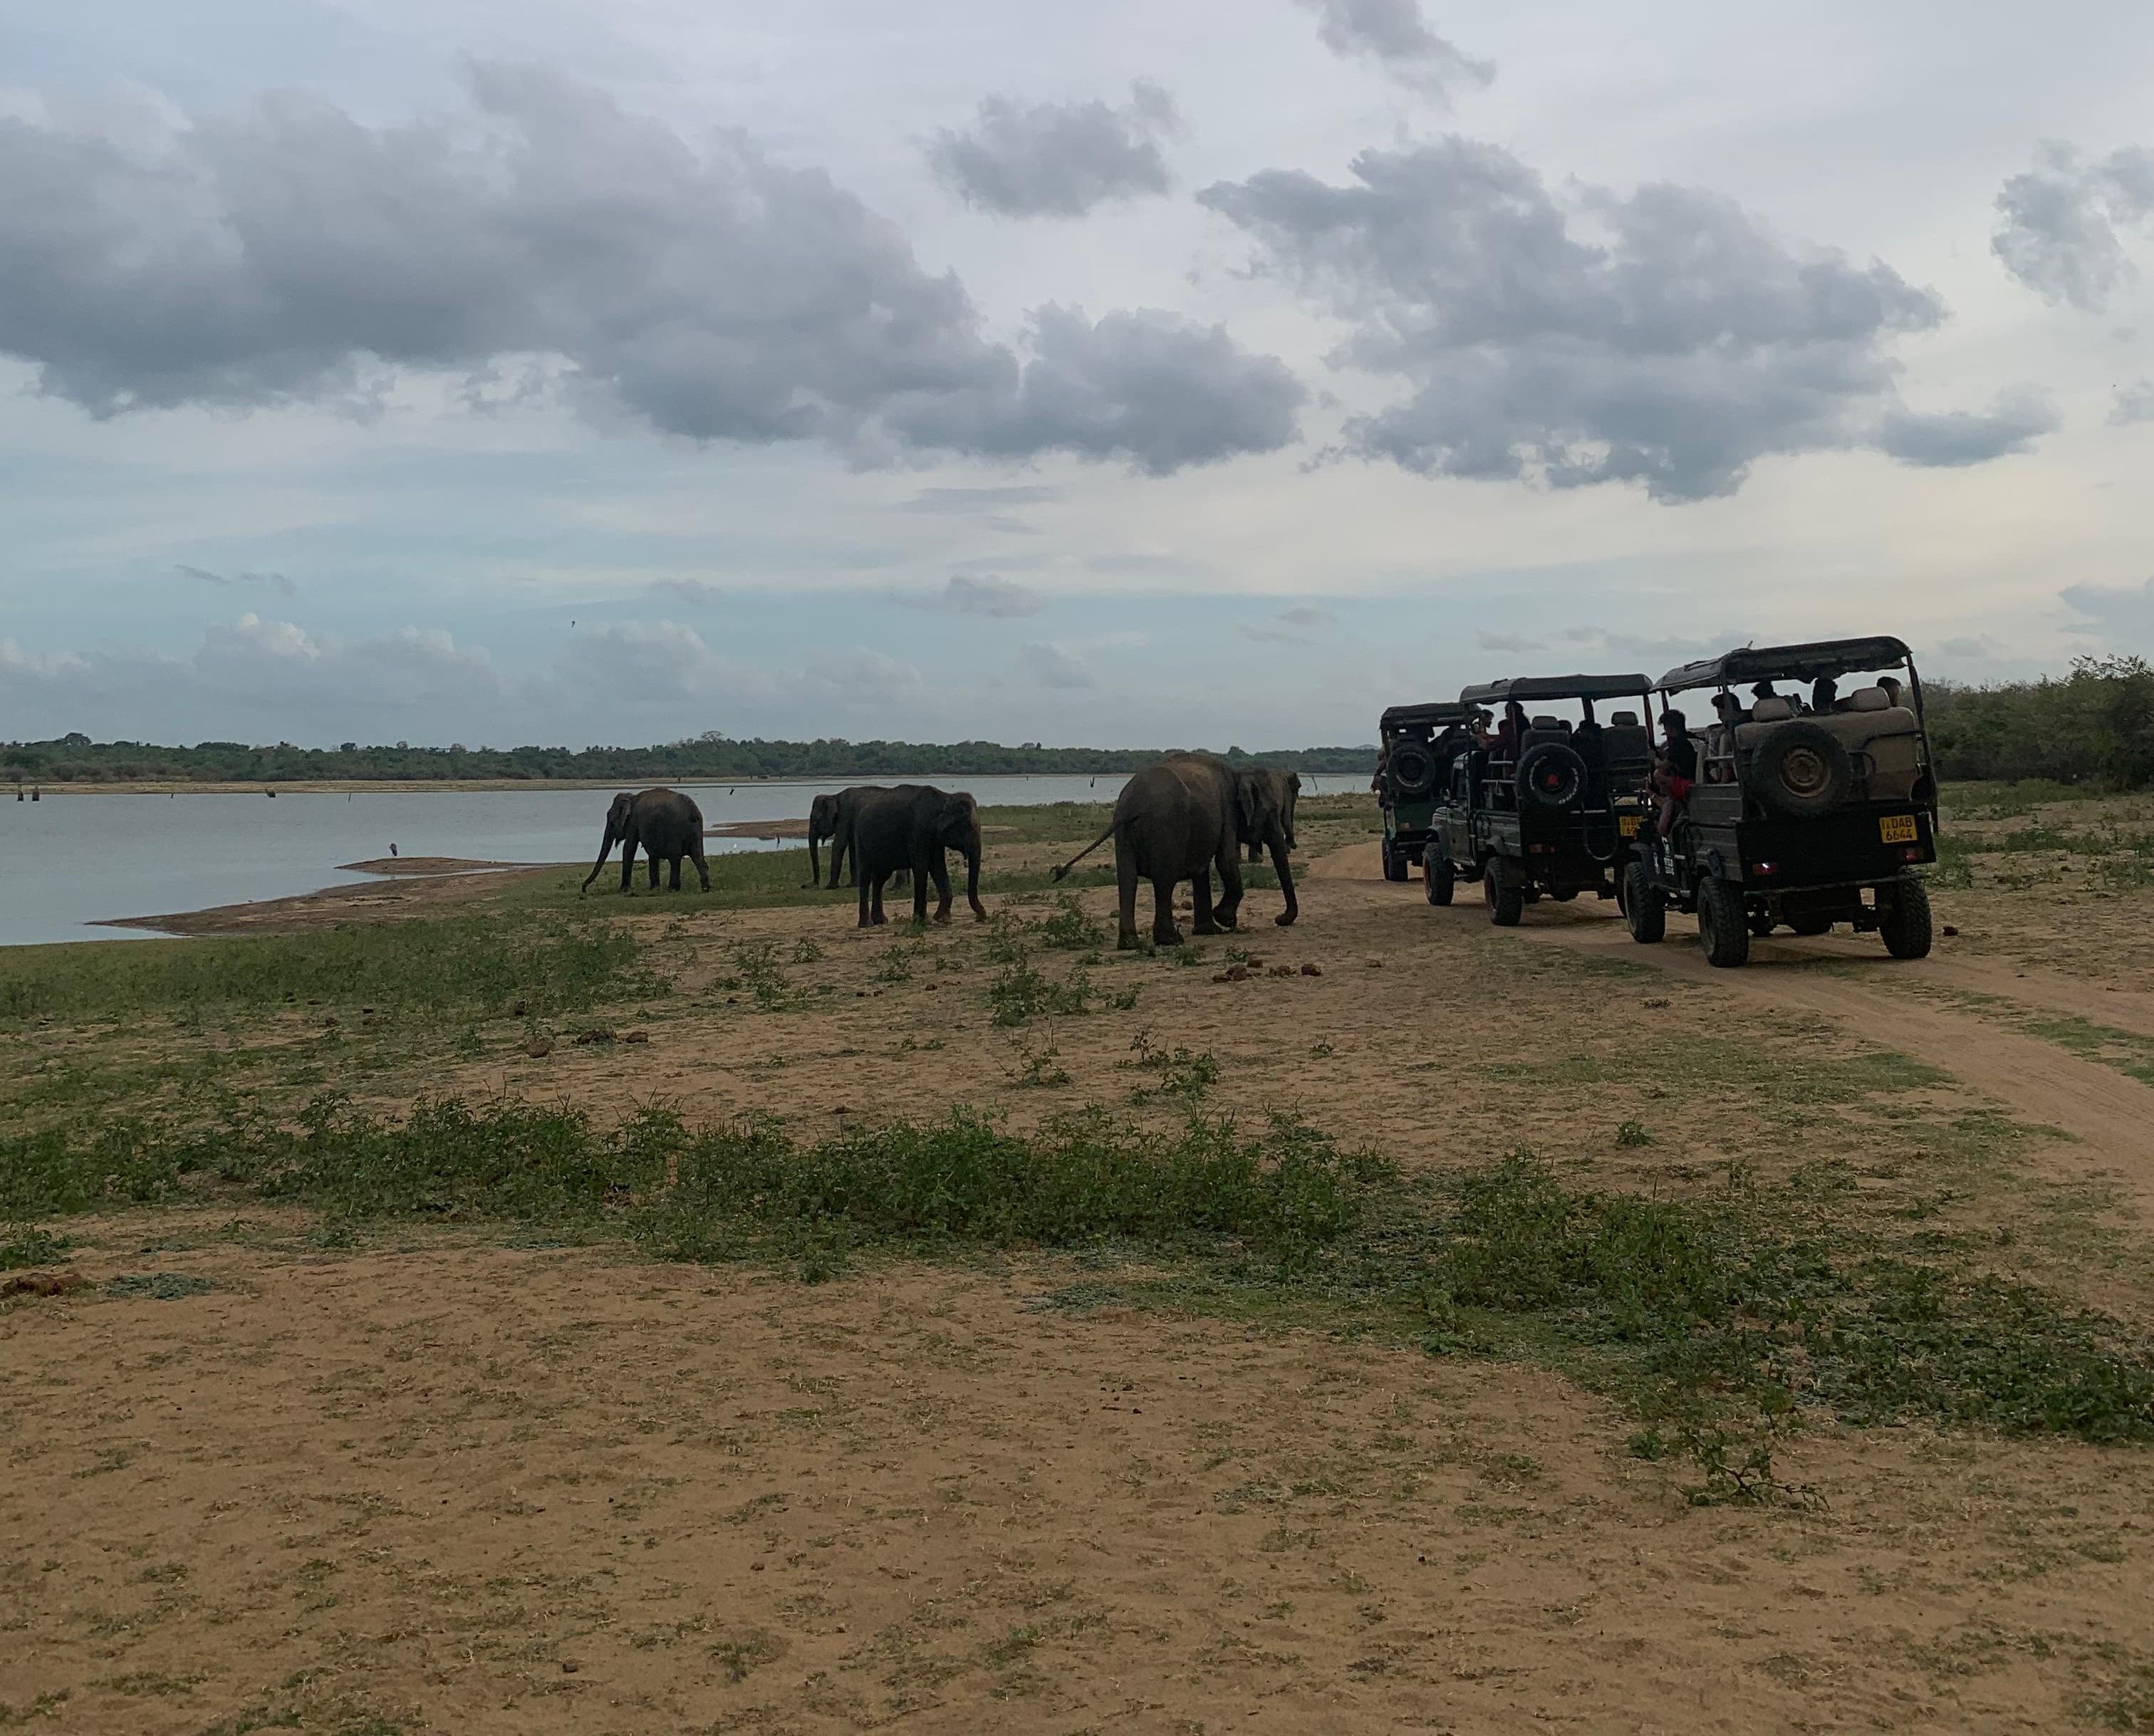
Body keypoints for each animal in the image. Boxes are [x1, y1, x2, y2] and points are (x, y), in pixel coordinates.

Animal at [580, 788, 710, 895]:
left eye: (612, 822)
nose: (584, 889)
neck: (632, 798)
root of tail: (693, 812)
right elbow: (652, 854)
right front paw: (654, 889)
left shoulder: (633, 822)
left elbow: (629, 848)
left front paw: (624, 890)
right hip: (697, 831)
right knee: (698, 857)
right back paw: (705, 889)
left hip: (675, 831)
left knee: (675, 858)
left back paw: (673, 889)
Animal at [849, 785, 985, 927]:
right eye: (966, 827)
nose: (980, 918)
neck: (945, 797)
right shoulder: (918, 831)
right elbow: (921, 866)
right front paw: (922, 921)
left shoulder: (934, 840)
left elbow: (938, 867)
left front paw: (943, 919)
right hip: (861, 841)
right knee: (865, 876)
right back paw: (866, 924)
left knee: (880, 879)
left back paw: (881, 921)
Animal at [1053, 754, 1298, 949]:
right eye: (1271, 812)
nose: (1279, 918)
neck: (1239, 774)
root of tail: (1132, 805)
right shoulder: (1227, 814)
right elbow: (1225, 862)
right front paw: (1225, 920)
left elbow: (1202, 871)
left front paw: (1210, 930)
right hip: (1166, 828)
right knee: (1164, 880)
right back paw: (1170, 940)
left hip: (1124, 835)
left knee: (1128, 879)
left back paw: (1130, 944)